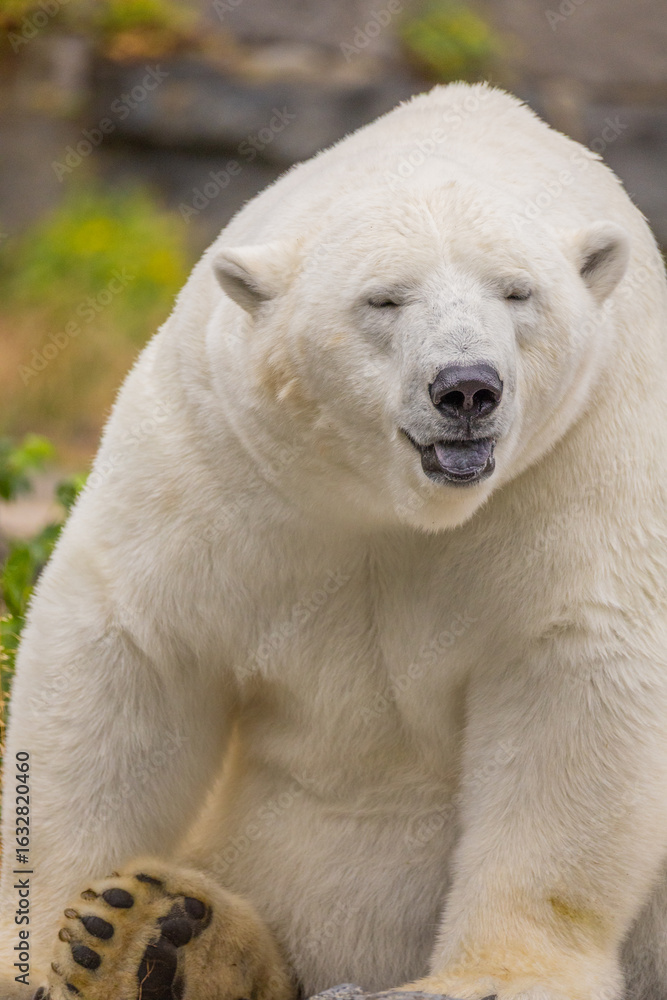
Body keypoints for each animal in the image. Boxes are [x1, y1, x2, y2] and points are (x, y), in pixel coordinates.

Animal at [2, 80, 667, 1000]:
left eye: (516, 293)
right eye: (383, 299)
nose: (467, 388)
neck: (395, 500)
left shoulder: (581, 455)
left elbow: (573, 675)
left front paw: (497, 975)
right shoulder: (226, 454)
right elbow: (131, 650)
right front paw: (59, 940)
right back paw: (151, 931)